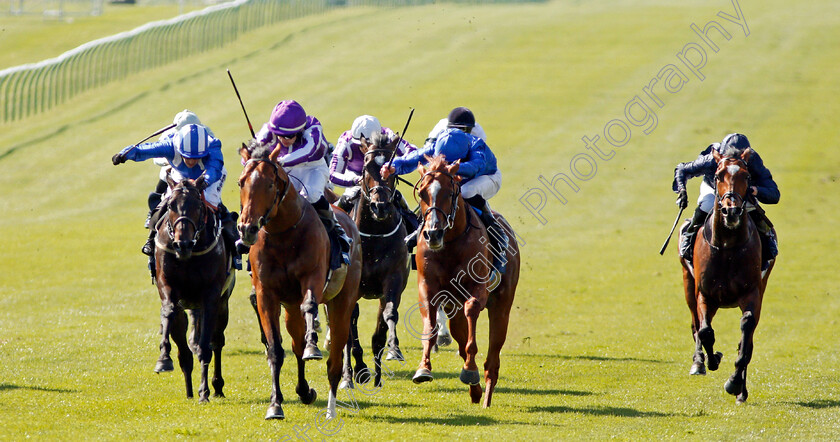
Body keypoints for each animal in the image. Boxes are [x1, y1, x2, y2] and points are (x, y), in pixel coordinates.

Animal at [152, 174, 235, 402]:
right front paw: (164, 358)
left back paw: (216, 386)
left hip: (223, 304)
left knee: (217, 341)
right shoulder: (169, 287)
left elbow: (206, 346)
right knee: (186, 350)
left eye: (198, 205)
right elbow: (169, 313)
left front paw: (204, 391)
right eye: (170, 205)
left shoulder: (211, 297)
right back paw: (189, 389)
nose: (183, 244)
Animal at [240, 142, 364, 422]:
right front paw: (275, 405)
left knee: (335, 358)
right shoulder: (267, 295)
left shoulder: (313, 278)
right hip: (289, 308)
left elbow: (310, 306)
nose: (247, 228)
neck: (283, 234)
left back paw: (330, 408)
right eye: (241, 182)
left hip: (342, 301)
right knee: (295, 344)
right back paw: (305, 391)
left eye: (270, 184)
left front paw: (313, 347)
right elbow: (276, 349)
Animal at [338, 133, 410, 388]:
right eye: (366, 168)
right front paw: (350, 375)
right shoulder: (351, 288)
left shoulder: (393, 281)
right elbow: (348, 330)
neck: (373, 237)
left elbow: (388, 316)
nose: (380, 206)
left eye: (392, 169)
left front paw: (391, 352)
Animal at [408, 156, 520, 408]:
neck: (449, 243)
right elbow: (430, 323)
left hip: (502, 307)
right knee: (460, 337)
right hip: (453, 309)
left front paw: (469, 370)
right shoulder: (427, 288)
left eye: (450, 193)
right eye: (421, 192)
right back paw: (475, 390)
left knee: (492, 359)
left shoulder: (478, 288)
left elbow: (472, 314)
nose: (433, 233)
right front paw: (423, 369)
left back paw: (485, 395)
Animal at [684, 148, 776, 404]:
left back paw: (741, 391)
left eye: (747, 176)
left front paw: (734, 383)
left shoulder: (752, 293)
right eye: (717, 175)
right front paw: (712, 358)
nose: (731, 210)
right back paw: (699, 362)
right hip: (689, 285)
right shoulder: (705, 294)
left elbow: (746, 333)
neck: (727, 247)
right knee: (695, 324)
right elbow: (705, 331)